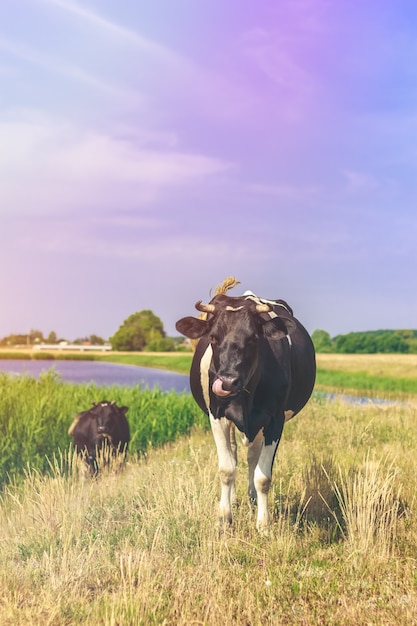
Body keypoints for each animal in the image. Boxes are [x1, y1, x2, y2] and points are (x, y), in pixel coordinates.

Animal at [174, 286, 314, 528]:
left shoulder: (275, 420)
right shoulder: (217, 416)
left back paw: (252, 499)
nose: (227, 381)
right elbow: (226, 468)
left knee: (251, 458)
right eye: (213, 337)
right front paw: (224, 518)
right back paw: (234, 499)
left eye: (253, 338)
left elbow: (263, 476)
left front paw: (263, 524)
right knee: (236, 456)